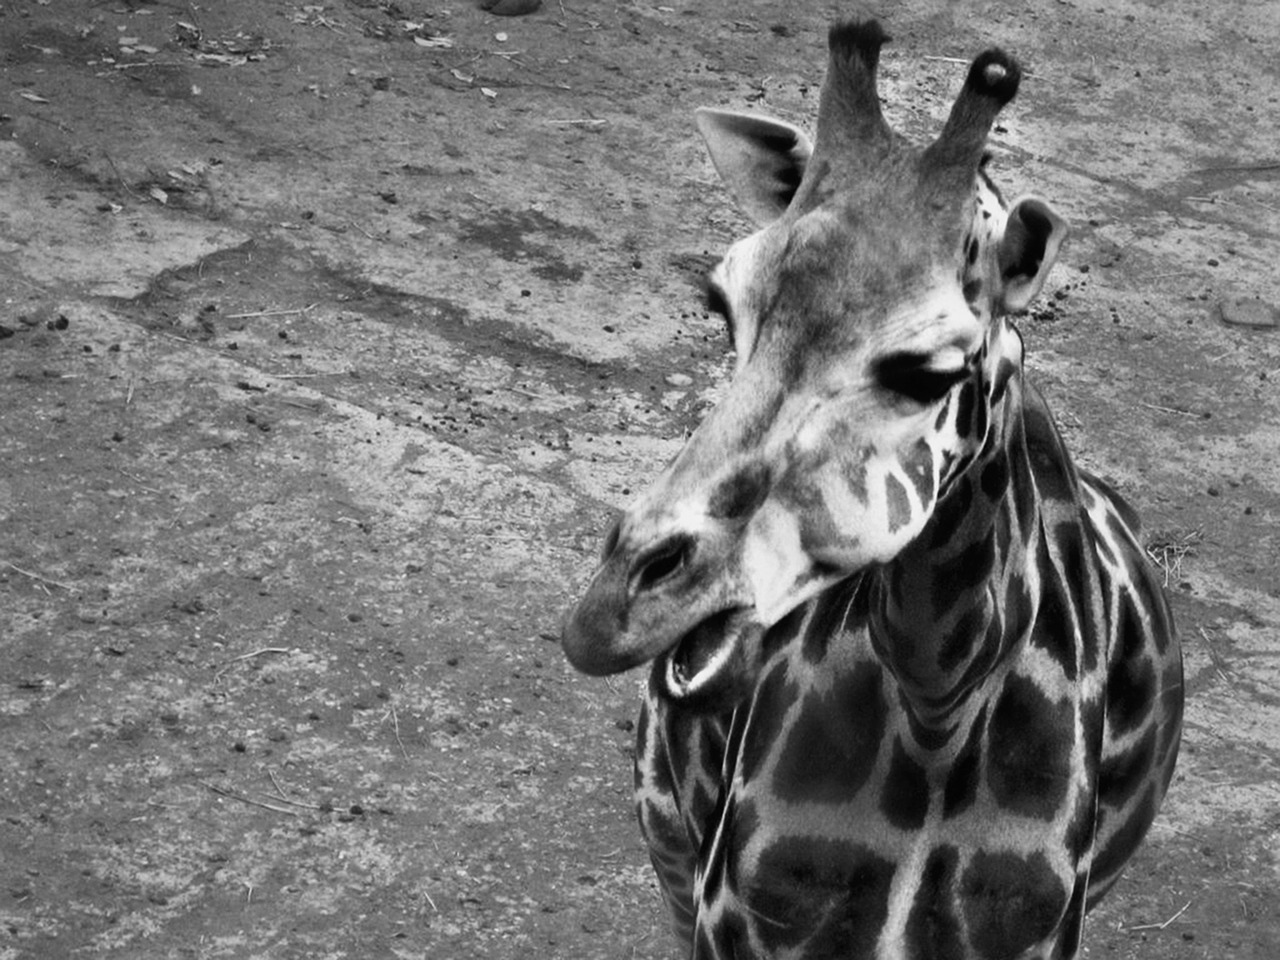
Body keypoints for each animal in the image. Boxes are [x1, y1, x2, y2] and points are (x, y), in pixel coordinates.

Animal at [560, 16, 1177, 960]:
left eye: (928, 370)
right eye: (722, 305)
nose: (611, 612)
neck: (938, 706)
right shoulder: (731, 921)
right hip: (666, 834)